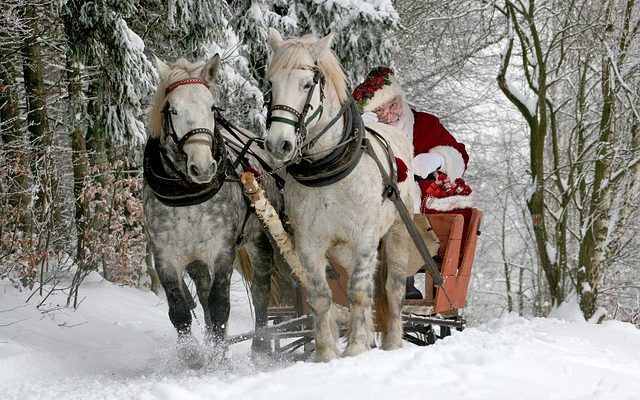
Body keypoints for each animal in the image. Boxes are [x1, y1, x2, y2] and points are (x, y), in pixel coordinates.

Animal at [264, 26, 416, 360]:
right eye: (271, 84)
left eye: (308, 83)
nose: (278, 144)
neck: (327, 170)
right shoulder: (309, 243)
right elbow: (321, 297)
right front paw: (326, 354)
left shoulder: (365, 238)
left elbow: (358, 293)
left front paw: (356, 348)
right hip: (343, 251)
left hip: (398, 233)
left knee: (392, 289)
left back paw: (391, 342)